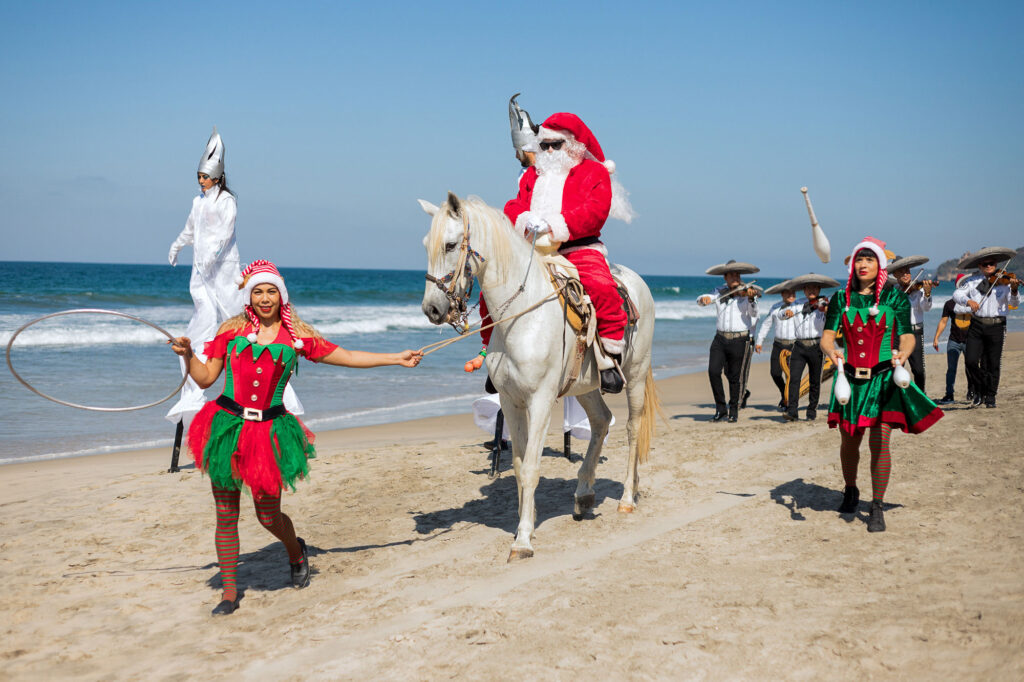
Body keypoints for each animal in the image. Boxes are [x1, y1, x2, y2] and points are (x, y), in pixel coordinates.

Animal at [419, 191, 659, 557]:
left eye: (449, 245)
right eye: (426, 246)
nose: (431, 309)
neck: (522, 316)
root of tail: (638, 283)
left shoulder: (541, 400)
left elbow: (532, 466)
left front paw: (522, 540)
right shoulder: (511, 401)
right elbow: (519, 467)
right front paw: (525, 521)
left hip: (634, 374)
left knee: (632, 429)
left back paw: (627, 498)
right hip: (584, 387)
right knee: (601, 421)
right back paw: (584, 495)